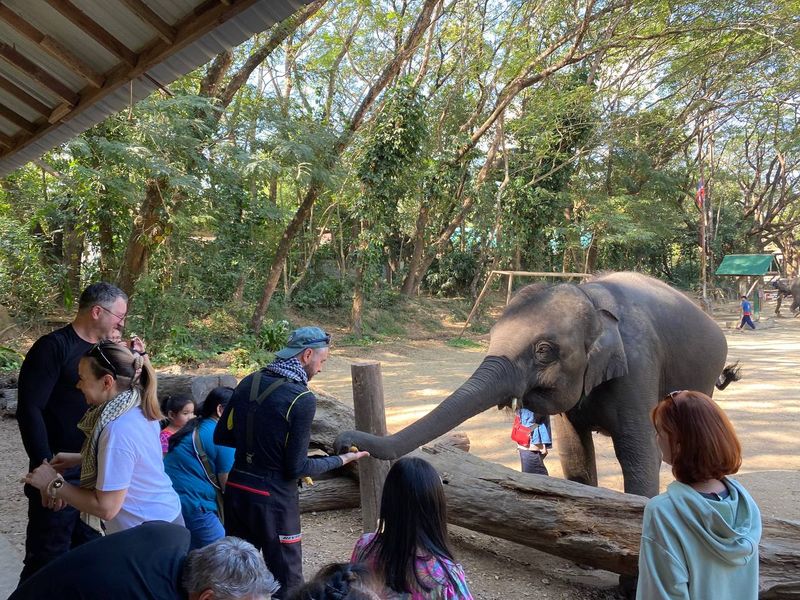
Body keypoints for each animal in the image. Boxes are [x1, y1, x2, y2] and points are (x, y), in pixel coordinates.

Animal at [334, 272, 740, 496]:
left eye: (543, 350)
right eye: (490, 336)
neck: (591, 297)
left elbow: (639, 453)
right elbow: (574, 452)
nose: (343, 443)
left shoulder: (639, 364)